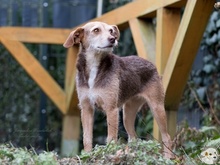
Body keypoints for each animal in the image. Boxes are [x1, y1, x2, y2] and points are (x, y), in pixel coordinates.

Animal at [63, 21, 174, 158]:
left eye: (111, 31)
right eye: (96, 30)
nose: (113, 39)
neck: (95, 67)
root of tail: (152, 65)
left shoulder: (111, 110)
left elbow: (111, 138)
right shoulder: (86, 109)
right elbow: (87, 138)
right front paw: (87, 156)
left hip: (157, 108)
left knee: (167, 136)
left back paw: (168, 158)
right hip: (127, 115)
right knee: (134, 137)